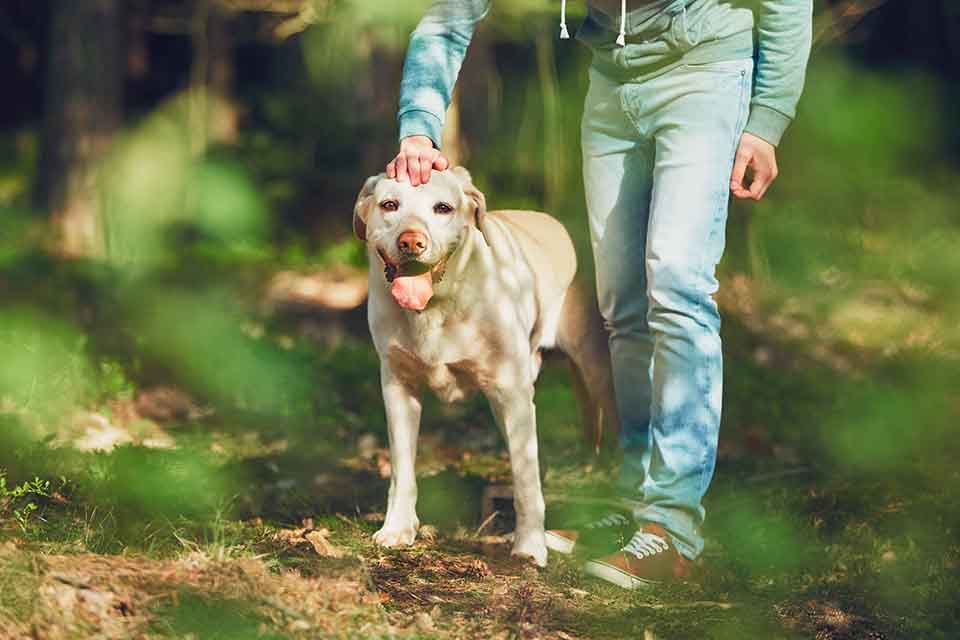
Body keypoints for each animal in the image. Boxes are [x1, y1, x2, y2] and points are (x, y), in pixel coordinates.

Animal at [352, 166, 616, 564]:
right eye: (389, 205)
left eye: (443, 208)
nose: (411, 241)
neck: (438, 306)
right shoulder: (398, 387)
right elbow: (402, 470)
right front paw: (398, 528)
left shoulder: (514, 394)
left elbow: (526, 481)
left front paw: (530, 546)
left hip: (598, 372)